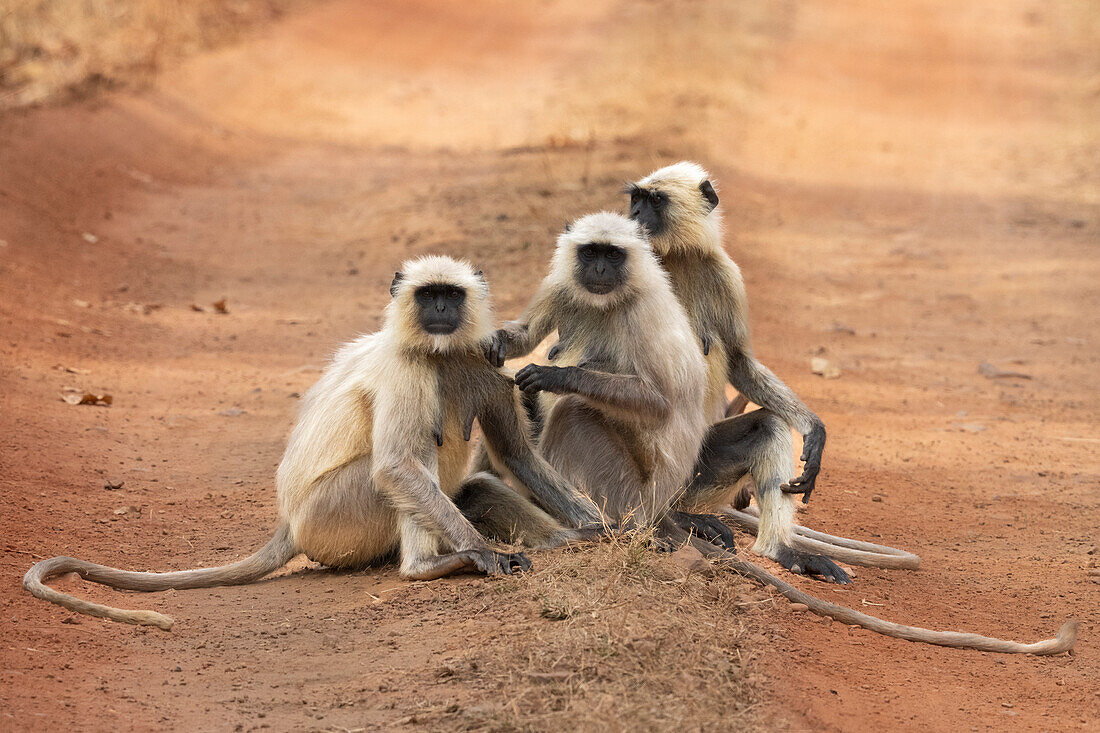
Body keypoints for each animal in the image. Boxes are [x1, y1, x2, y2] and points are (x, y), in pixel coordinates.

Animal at [23, 255, 602, 629]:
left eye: (451, 296)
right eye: (427, 295)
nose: (440, 311)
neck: (441, 354)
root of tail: (289, 522)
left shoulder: (484, 357)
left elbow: (517, 455)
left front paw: (595, 526)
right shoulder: (406, 369)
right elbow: (396, 467)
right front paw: (483, 552)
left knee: (473, 487)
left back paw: (561, 541)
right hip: (332, 515)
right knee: (405, 462)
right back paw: (430, 567)